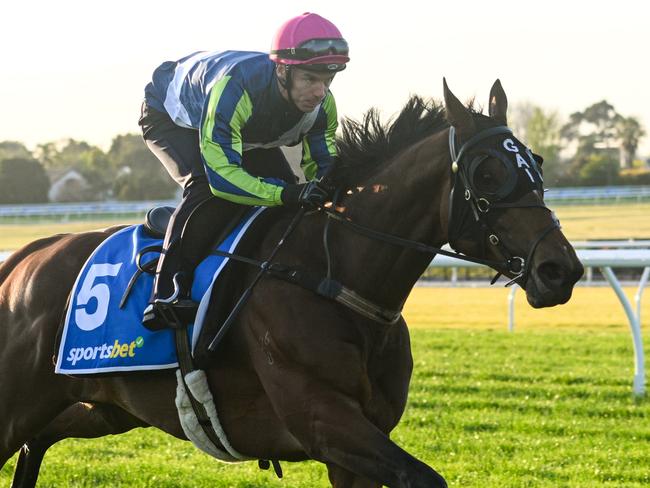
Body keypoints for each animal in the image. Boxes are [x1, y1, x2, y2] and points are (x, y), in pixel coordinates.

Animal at [1, 81, 584, 488]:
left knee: (36, 446)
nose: (561, 270)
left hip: (98, 408)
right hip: (22, 403)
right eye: (487, 174)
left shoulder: (357, 447)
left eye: (534, 164)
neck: (333, 274)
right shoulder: (323, 420)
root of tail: (25, 259)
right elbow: (424, 476)